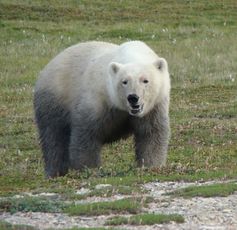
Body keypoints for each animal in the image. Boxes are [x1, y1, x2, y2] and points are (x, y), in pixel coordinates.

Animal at [33, 41, 170, 178]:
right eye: (124, 81)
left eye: (145, 80)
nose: (133, 97)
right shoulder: (96, 100)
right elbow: (87, 135)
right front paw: (89, 169)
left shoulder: (154, 106)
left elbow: (151, 133)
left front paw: (150, 166)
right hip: (54, 100)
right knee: (54, 138)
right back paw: (55, 172)